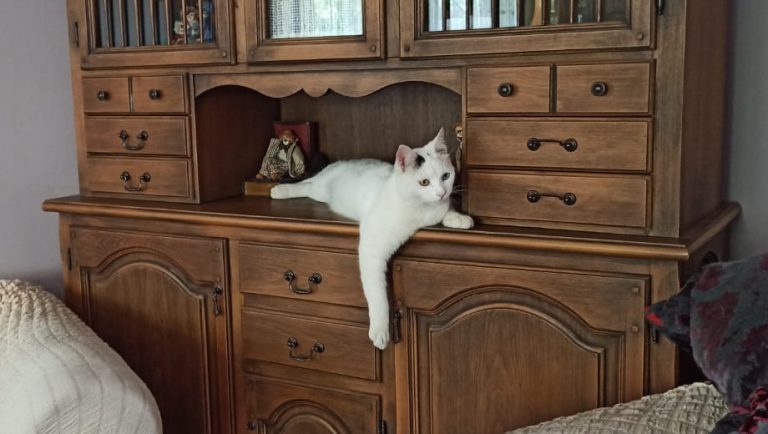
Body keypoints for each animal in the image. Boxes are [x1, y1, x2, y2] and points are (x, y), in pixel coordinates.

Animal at [270, 128, 474, 349]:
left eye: (446, 176)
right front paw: (380, 330)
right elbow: (377, 296)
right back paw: (279, 190)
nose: (442, 192)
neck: (421, 210)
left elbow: (446, 209)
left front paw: (459, 218)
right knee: (307, 184)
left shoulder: (439, 206)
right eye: (424, 182)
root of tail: (341, 163)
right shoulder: (371, 250)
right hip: (320, 190)